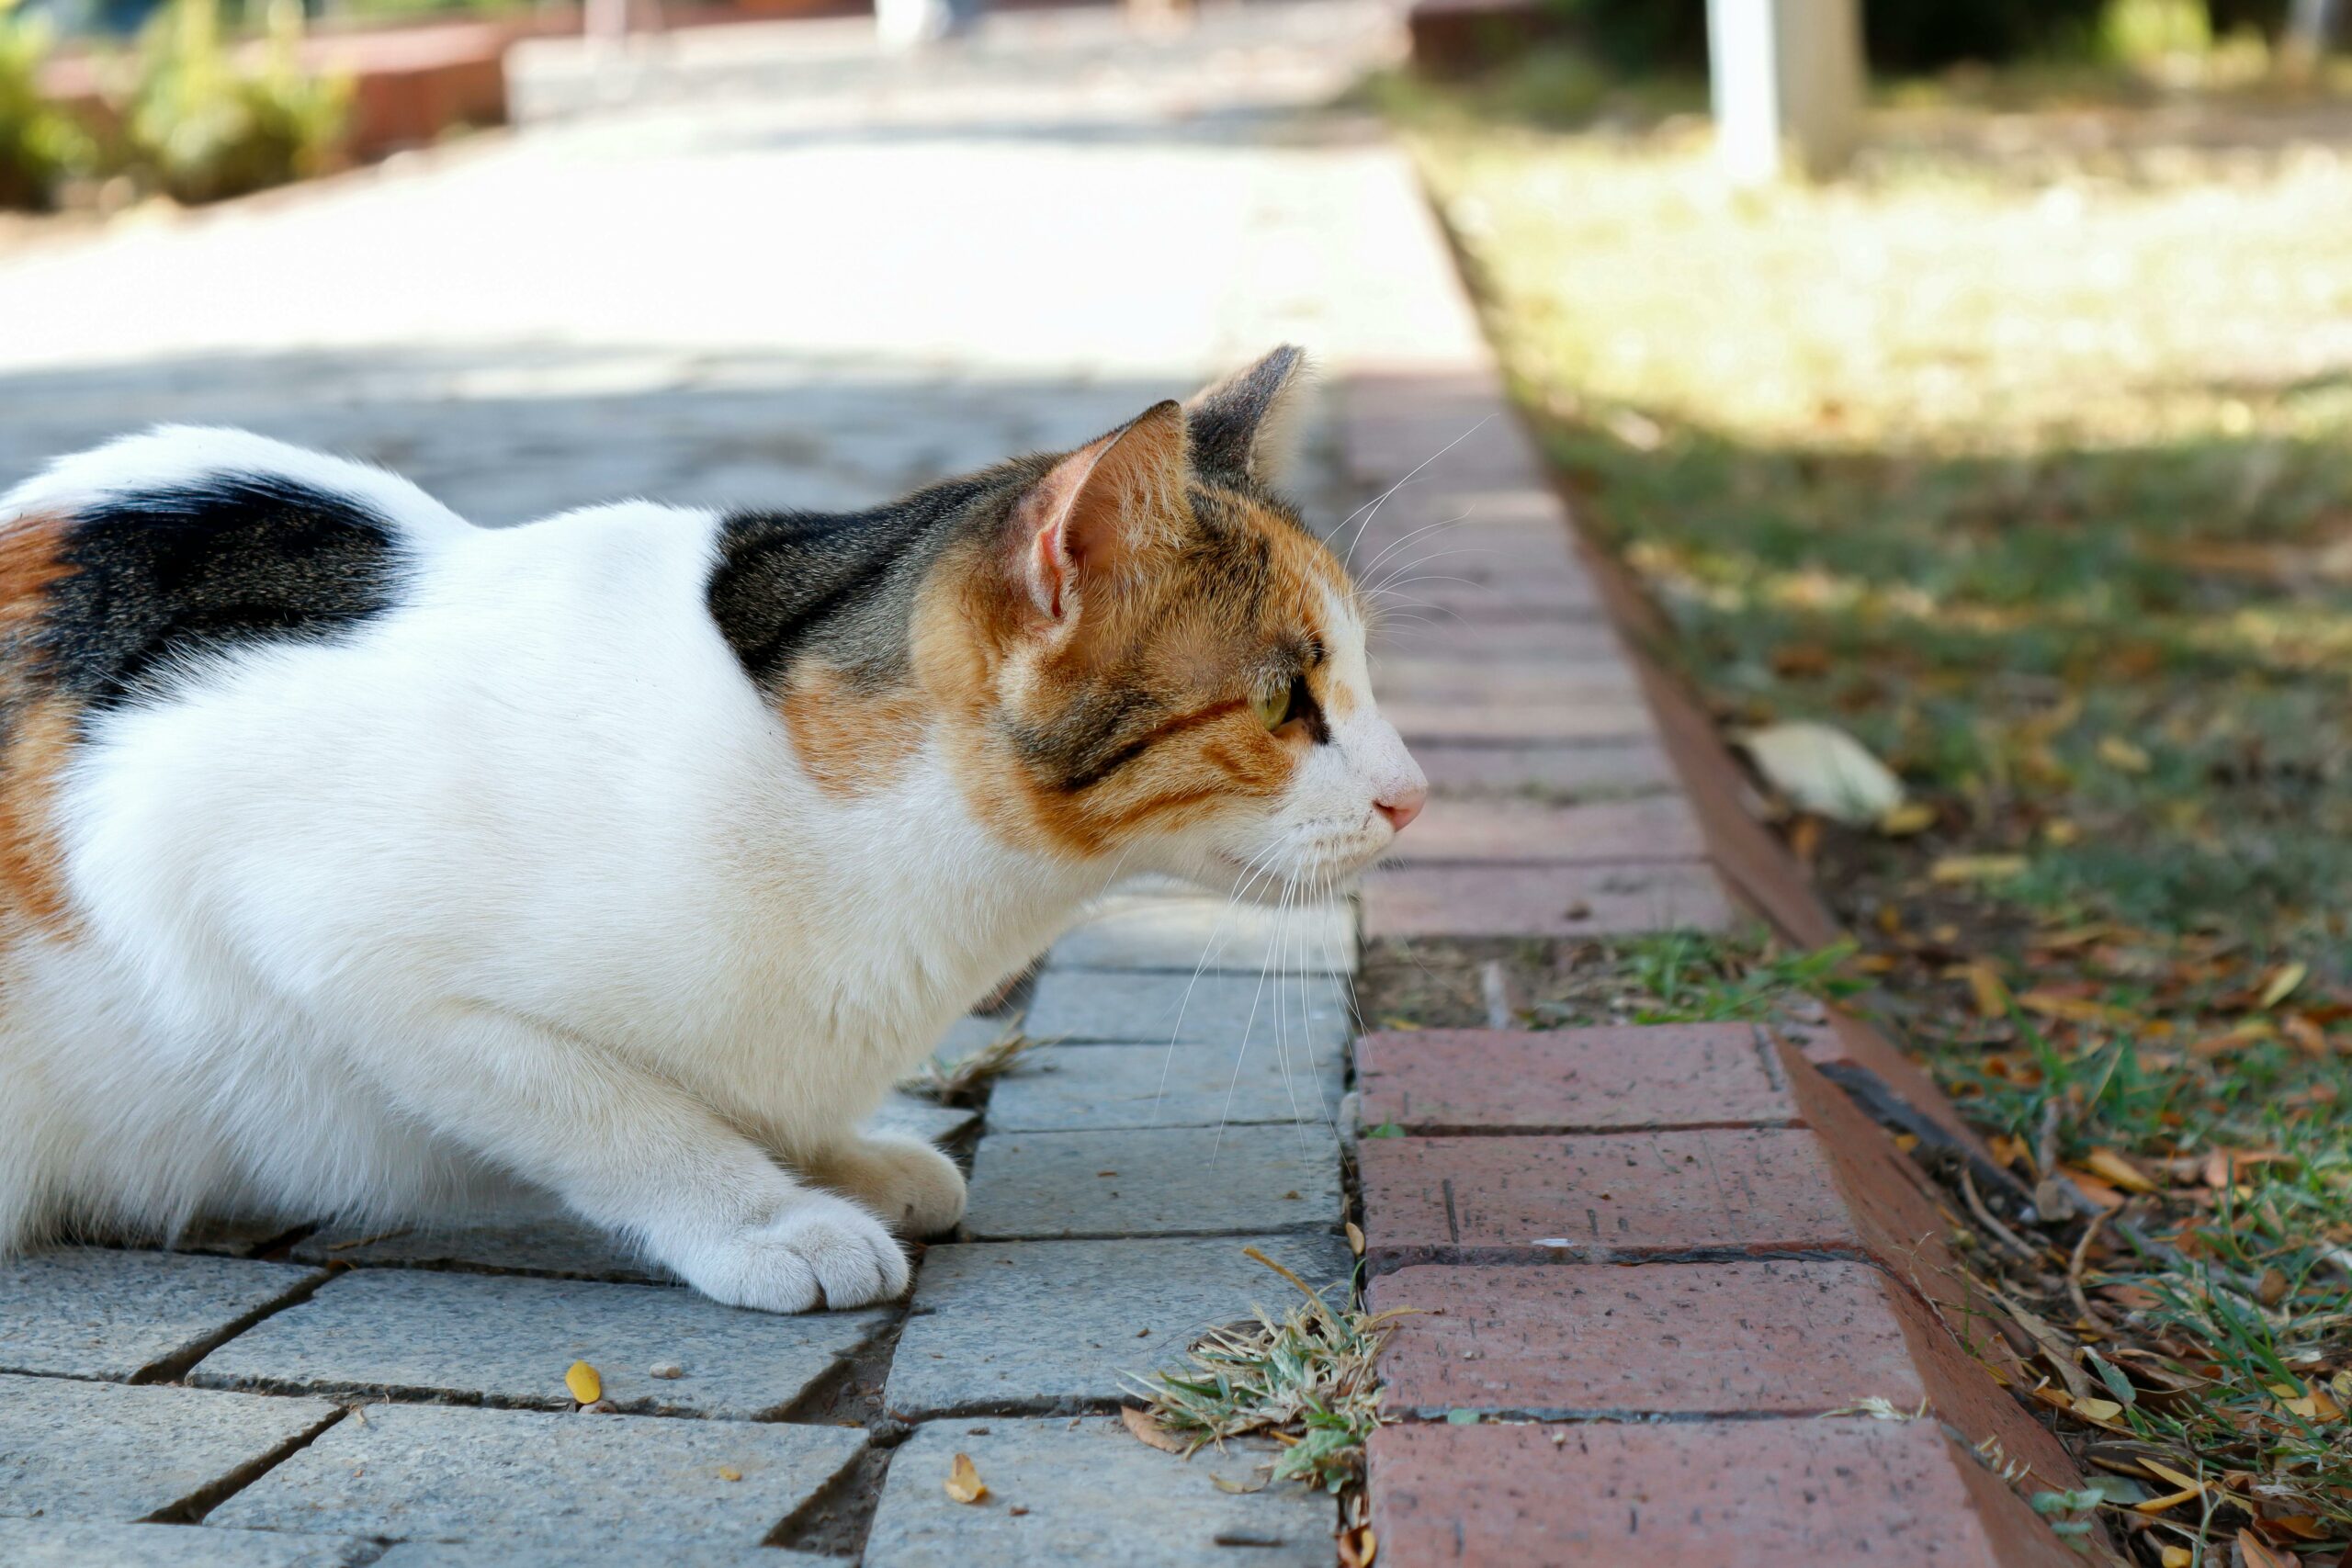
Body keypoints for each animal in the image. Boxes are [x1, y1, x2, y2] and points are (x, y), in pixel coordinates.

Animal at [0, 352, 1411, 1316]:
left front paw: (841, 1158)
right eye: (1284, 702)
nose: (1414, 793)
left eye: (1361, 676)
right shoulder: (246, 882)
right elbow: (604, 1103)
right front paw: (764, 1215)